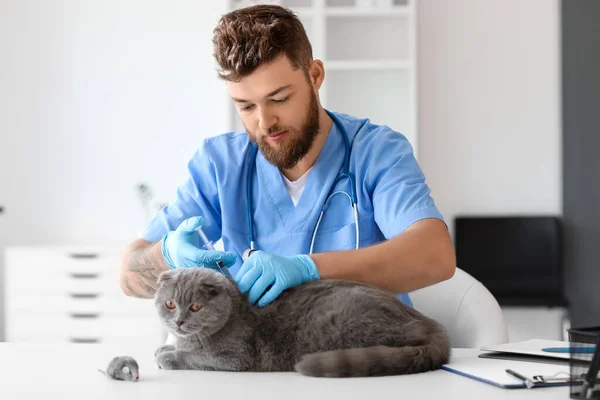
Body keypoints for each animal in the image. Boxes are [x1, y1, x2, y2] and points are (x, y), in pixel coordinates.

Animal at [155, 268, 450, 376]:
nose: (179, 321)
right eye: (170, 304)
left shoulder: (235, 357)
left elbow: (193, 358)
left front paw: (168, 357)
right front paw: (164, 348)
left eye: (195, 307)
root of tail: (427, 322)